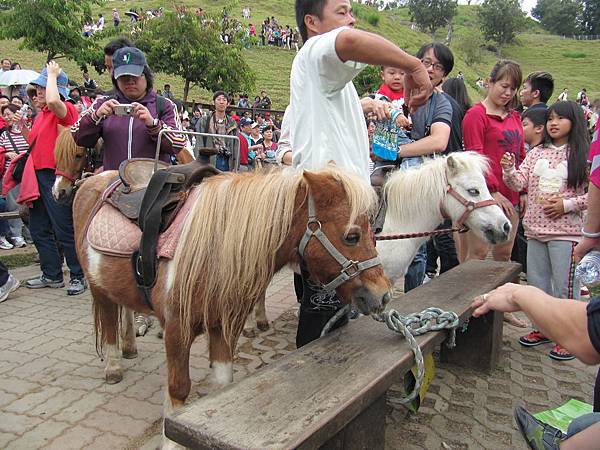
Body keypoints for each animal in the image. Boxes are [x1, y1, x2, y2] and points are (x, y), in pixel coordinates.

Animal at [54, 134, 392, 446]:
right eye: (352, 236)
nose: (383, 294)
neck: (212, 247)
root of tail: (95, 179)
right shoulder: (177, 330)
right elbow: (178, 389)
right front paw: (170, 441)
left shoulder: (224, 326)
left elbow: (222, 382)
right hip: (97, 287)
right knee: (108, 320)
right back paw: (113, 365)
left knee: (123, 308)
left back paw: (129, 346)